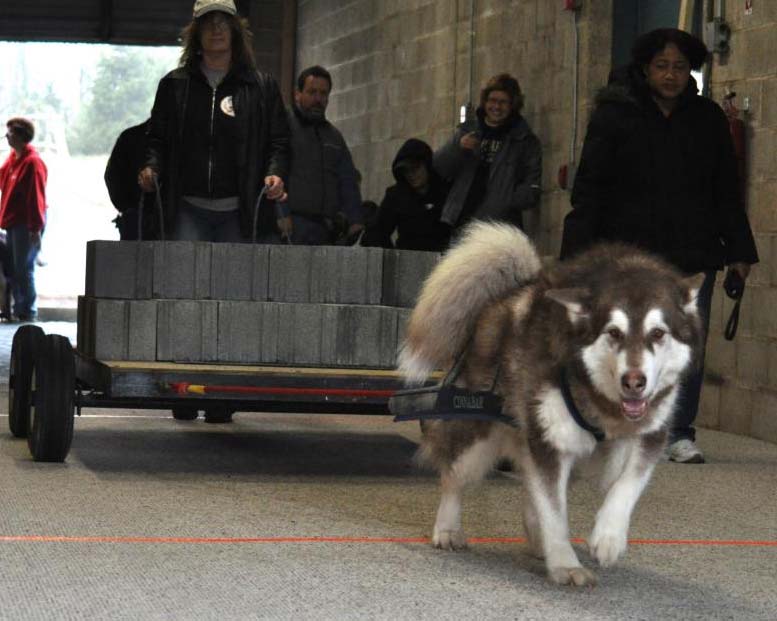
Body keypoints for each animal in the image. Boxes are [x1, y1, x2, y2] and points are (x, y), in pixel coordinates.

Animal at [398, 220, 708, 584]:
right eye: (613, 332)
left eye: (658, 333)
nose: (634, 382)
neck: (602, 404)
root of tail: (510, 294)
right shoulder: (552, 440)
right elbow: (554, 511)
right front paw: (565, 562)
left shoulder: (649, 434)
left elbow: (625, 483)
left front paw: (609, 536)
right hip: (479, 439)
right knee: (455, 477)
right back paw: (448, 528)